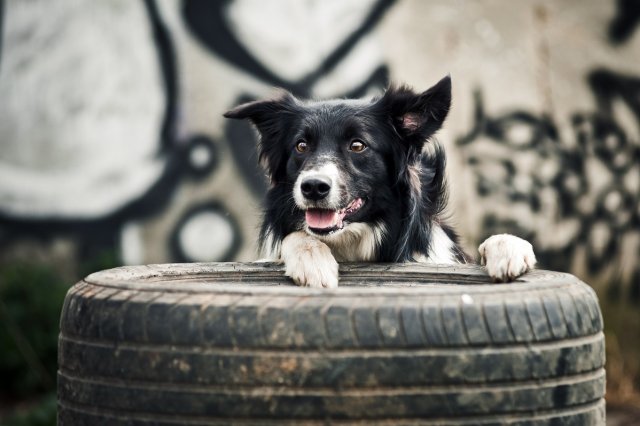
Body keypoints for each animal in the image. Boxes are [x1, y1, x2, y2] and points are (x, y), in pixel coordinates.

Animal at [225, 76, 536, 290]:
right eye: (301, 146)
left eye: (357, 145)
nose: (312, 187)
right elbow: (298, 236)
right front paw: (313, 261)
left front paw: (508, 248)